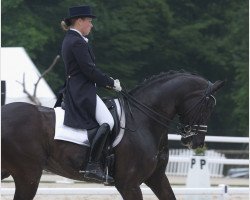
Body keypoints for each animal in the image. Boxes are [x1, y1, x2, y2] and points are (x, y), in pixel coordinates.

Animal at [0, 71, 224, 199]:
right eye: (207, 107)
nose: (195, 142)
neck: (144, 120)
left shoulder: (157, 178)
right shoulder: (129, 184)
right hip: (28, 174)